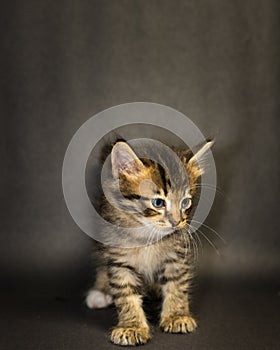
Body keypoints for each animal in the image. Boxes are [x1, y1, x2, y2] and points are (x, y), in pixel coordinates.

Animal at [85, 139, 212, 344]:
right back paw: (100, 292)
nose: (177, 222)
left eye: (185, 202)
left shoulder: (176, 255)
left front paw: (176, 315)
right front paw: (132, 326)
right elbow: (126, 294)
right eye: (158, 203)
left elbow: (177, 284)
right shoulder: (119, 259)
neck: (146, 234)